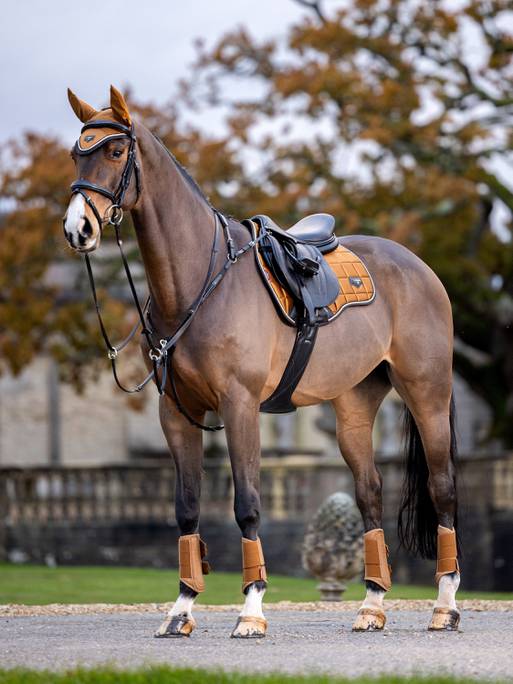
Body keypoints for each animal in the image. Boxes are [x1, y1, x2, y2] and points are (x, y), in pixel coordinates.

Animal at [62, 88, 458, 640]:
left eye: (116, 152)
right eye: (75, 155)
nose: (77, 228)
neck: (198, 282)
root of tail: (418, 267)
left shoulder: (240, 405)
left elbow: (247, 503)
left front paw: (250, 610)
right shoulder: (176, 413)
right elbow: (187, 508)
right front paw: (181, 609)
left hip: (428, 394)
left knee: (442, 490)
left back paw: (445, 606)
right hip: (354, 408)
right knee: (370, 494)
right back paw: (371, 606)